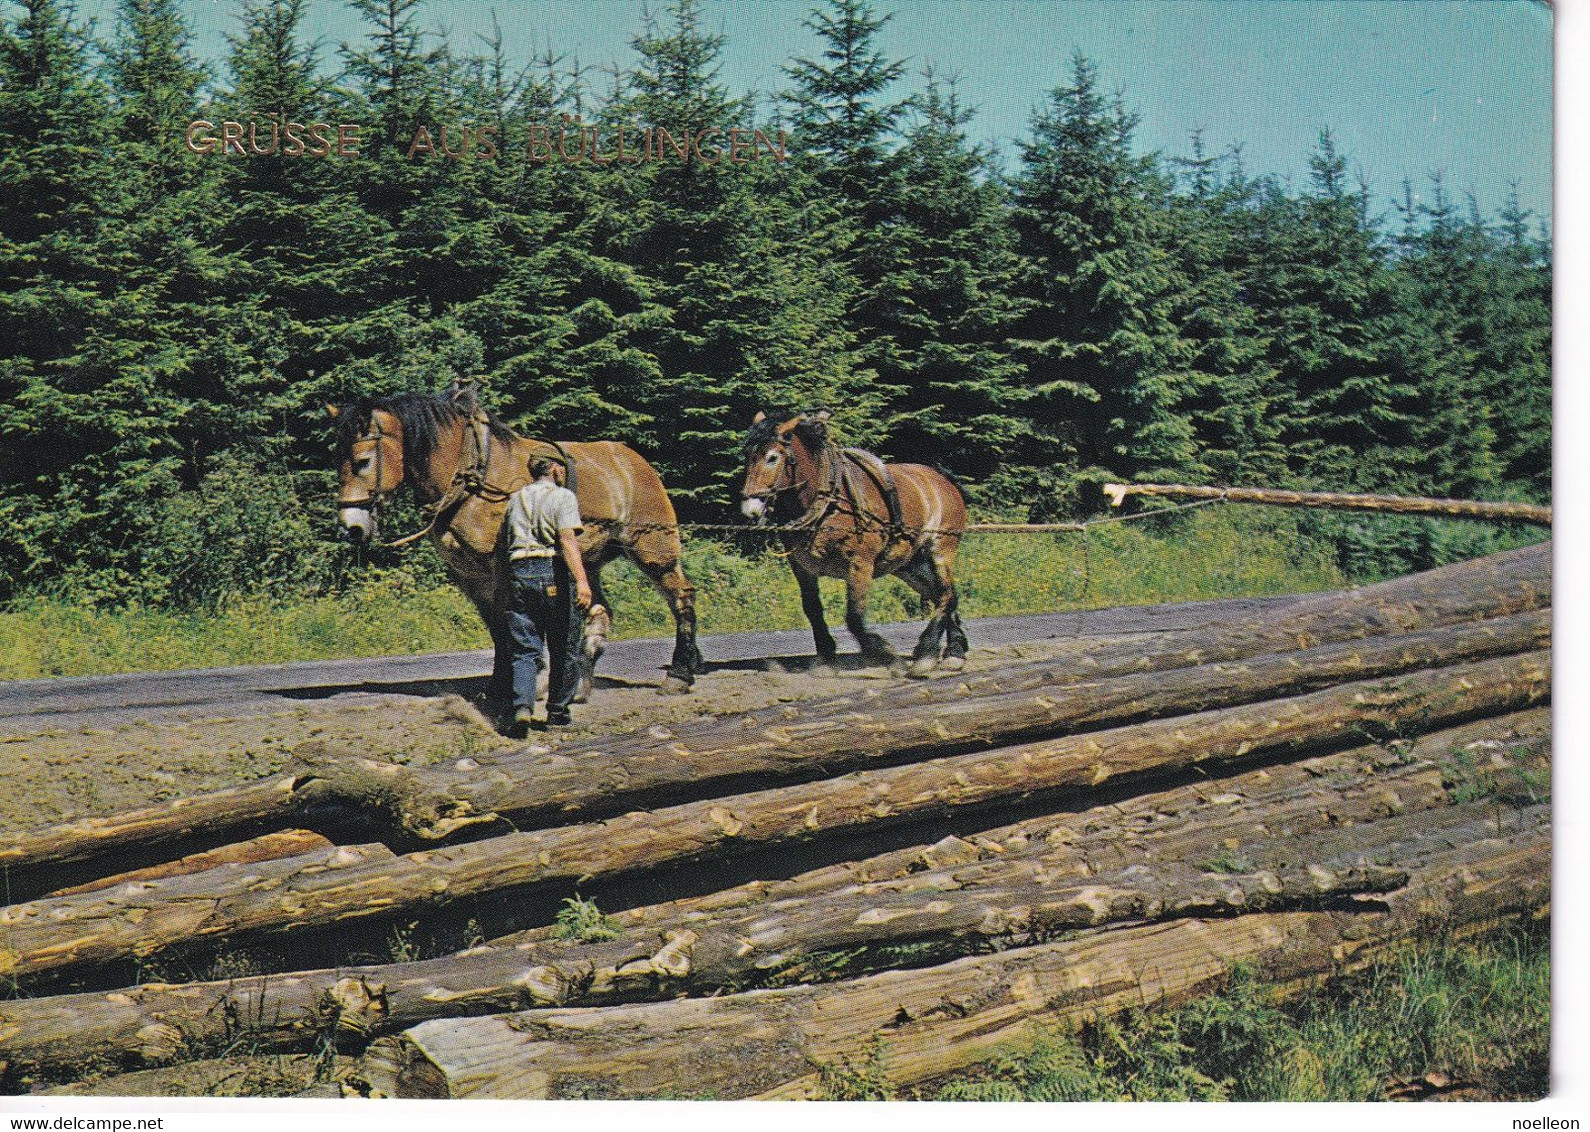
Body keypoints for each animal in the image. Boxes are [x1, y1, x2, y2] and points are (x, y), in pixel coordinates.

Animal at [329, 389, 702, 699]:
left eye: (362, 462)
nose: (351, 528)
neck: (473, 477)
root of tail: (634, 461)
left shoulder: (504, 566)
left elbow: (511, 623)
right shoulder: (470, 575)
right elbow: (497, 627)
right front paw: (499, 685)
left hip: (654, 550)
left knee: (681, 597)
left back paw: (679, 675)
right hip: (586, 561)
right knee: (600, 611)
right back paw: (579, 685)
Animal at [740, 410, 966, 677]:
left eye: (772, 457)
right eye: (746, 456)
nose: (750, 510)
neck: (829, 503)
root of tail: (944, 481)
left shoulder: (860, 565)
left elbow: (854, 618)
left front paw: (886, 655)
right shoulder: (802, 568)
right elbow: (813, 609)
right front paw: (826, 658)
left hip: (941, 549)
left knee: (945, 595)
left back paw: (928, 654)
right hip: (909, 566)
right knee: (945, 595)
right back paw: (955, 652)